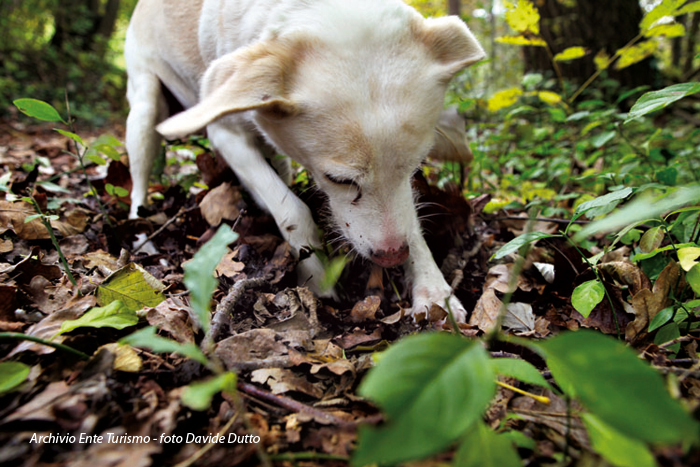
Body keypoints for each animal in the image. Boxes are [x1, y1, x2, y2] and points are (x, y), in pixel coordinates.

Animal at [124, 0, 482, 322]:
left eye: (415, 167)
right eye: (339, 180)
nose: (393, 256)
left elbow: (411, 220)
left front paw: (433, 288)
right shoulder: (225, 134)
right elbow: (291, 211)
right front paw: (316, 276)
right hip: (145, 108)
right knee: (139, 180)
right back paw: (141, 236)